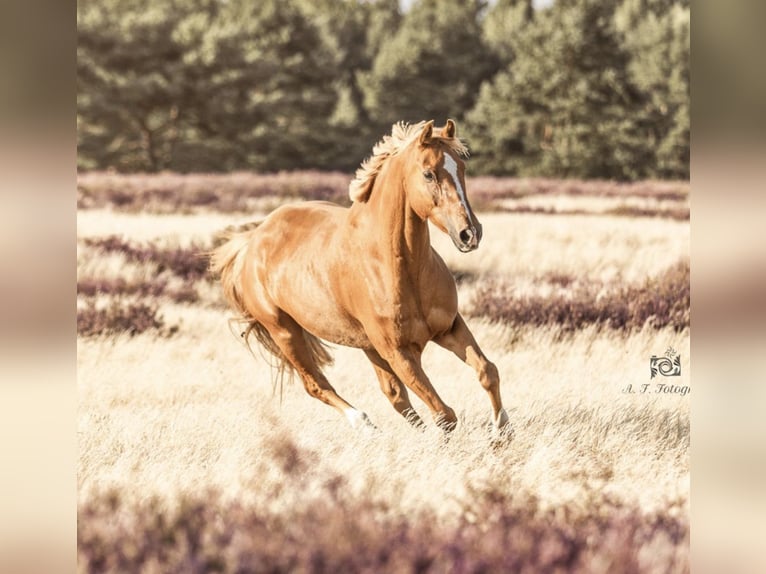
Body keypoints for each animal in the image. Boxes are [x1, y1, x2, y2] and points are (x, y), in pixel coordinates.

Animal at [211, 120, 509, 432]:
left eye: (461, 168)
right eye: (429, 173)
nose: (469, 233)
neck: (398, 267)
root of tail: (252, 240)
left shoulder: (449, 328)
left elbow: (487, 371)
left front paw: (502, 429)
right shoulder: (398, 351)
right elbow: (443, 413)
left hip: (366, 345)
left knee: (395, 396)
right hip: (285, 332)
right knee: (317, 385)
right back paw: (364, 423)